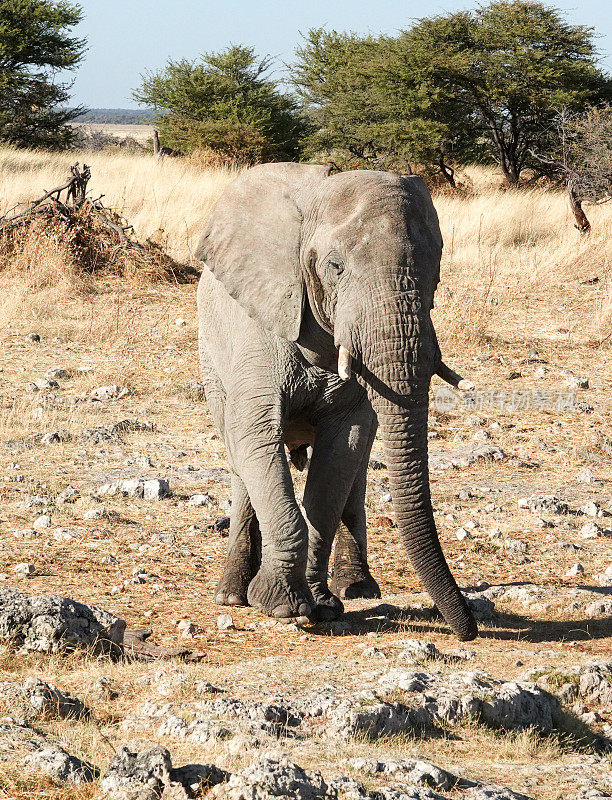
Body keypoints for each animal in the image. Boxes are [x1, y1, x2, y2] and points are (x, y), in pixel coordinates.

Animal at [196, 162, 478, 644]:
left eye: (436, 271)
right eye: (335, 266)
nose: (469, 629)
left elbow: (342, 452)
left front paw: (323, 606)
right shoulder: (260, 325)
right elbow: (255, 435)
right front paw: (282, 607)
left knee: (358, 469)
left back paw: (357, 587)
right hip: (212, 351)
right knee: (239, 459)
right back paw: (231, 594)